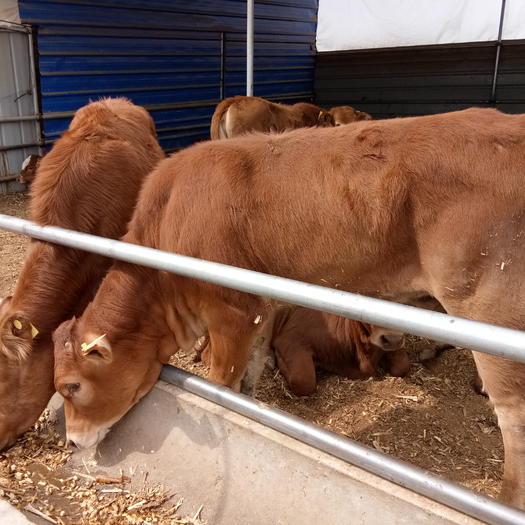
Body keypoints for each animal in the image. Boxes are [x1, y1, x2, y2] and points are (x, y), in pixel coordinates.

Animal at [54, 108, 525, 510]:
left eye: (71, 386)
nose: (72, 442)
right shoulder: (260, 309)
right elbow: (251, 374)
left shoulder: (230, 313)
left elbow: (223, 383)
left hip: (490, 309)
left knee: (514, 417)